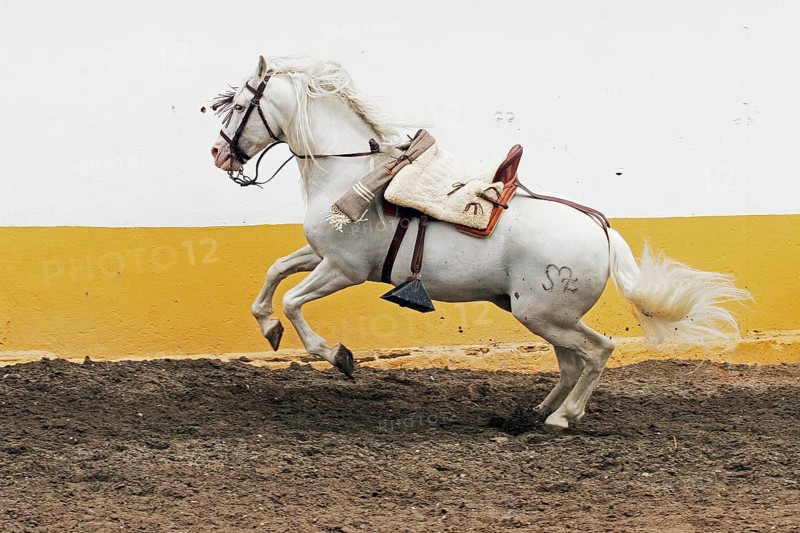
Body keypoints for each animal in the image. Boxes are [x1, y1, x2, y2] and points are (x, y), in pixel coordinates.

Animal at [209, 56, 750, 429]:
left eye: (237, 106)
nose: (218, 153)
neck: (350, 174)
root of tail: (601, 228)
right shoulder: (320, 255)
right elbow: (275, 273)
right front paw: (267, 327)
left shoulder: (343, 269)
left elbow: (294, 301)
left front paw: (337, 356)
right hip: (543, 316)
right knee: (571, 363)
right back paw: (534, 412)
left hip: (544, 315)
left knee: (598, 352)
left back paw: (562, 418)